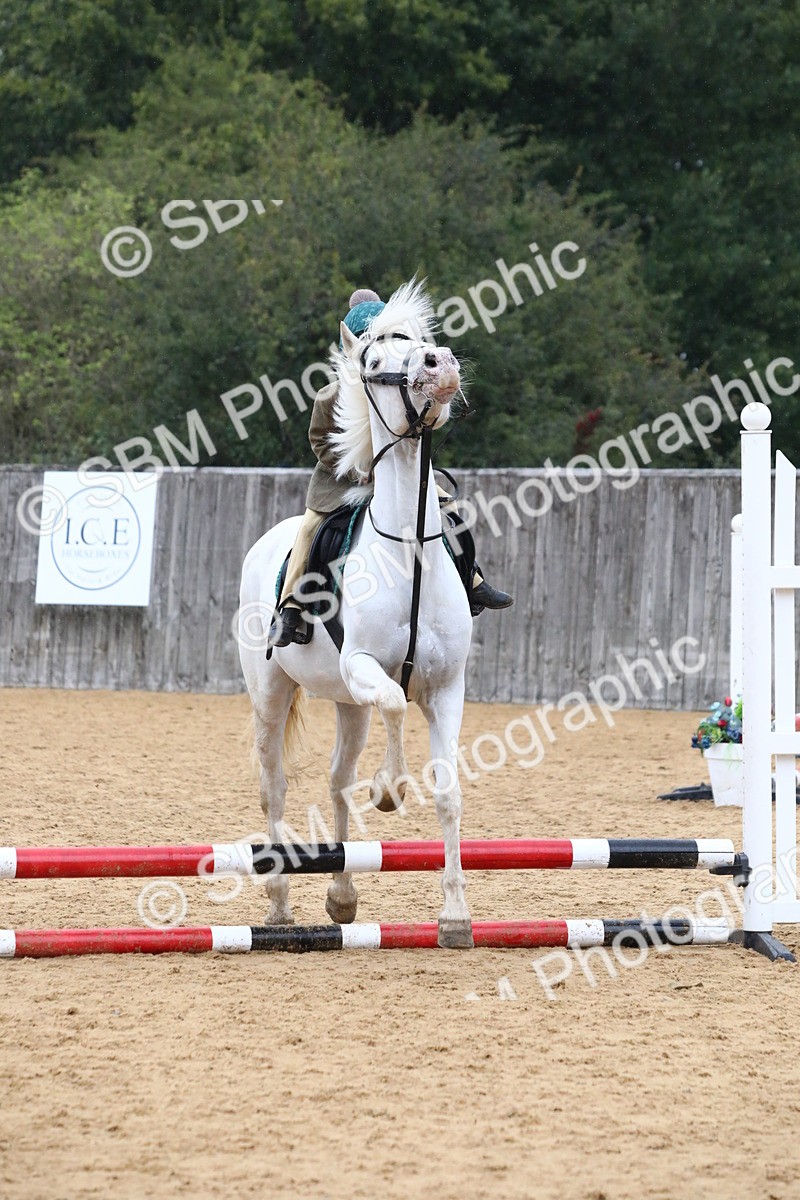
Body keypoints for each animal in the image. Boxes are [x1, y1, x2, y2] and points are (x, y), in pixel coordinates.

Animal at [237, 280, 474, 948]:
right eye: (371, 361)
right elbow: (395, 701)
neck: (409, 548)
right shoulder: (364, 667)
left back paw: (342, 896)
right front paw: (391, 788)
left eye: (418, 342)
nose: (438, 365)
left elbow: (448, 793)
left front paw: (455, 917)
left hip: (347, 707)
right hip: (272, 694)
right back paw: (279, 904)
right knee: (274, 789)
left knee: (338, 782)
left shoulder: (447, 687)